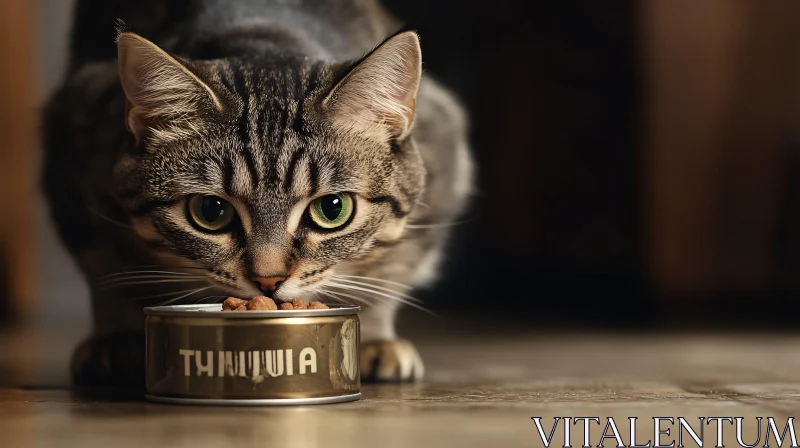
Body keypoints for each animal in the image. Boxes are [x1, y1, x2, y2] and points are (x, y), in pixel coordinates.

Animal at [43, 0, 472, 384]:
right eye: (211, 211)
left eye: (332, 209)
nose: (269, 281)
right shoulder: (74, 163)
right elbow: (108, 273)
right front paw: (116, 338)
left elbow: (389, 270)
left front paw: (375, 339)